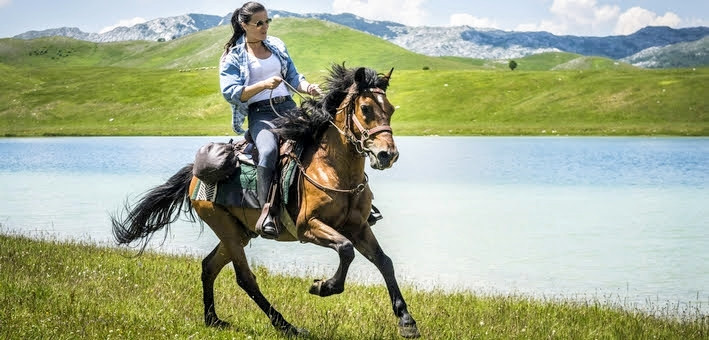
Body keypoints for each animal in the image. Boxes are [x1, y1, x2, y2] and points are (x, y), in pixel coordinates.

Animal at [111, 63, 420, 338]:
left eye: (391, 109)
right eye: (365, 109)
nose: (387, 155)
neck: (333, 168)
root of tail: (194, 176)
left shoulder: (358, 227)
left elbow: (384, 261)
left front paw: (406, 321)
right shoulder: (309, 227)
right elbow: (345, 250)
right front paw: (322, 286)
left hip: (239, 232)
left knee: (209, 266)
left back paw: (213, 320)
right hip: (225, 228)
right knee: (245, 279)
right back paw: (286, 326)